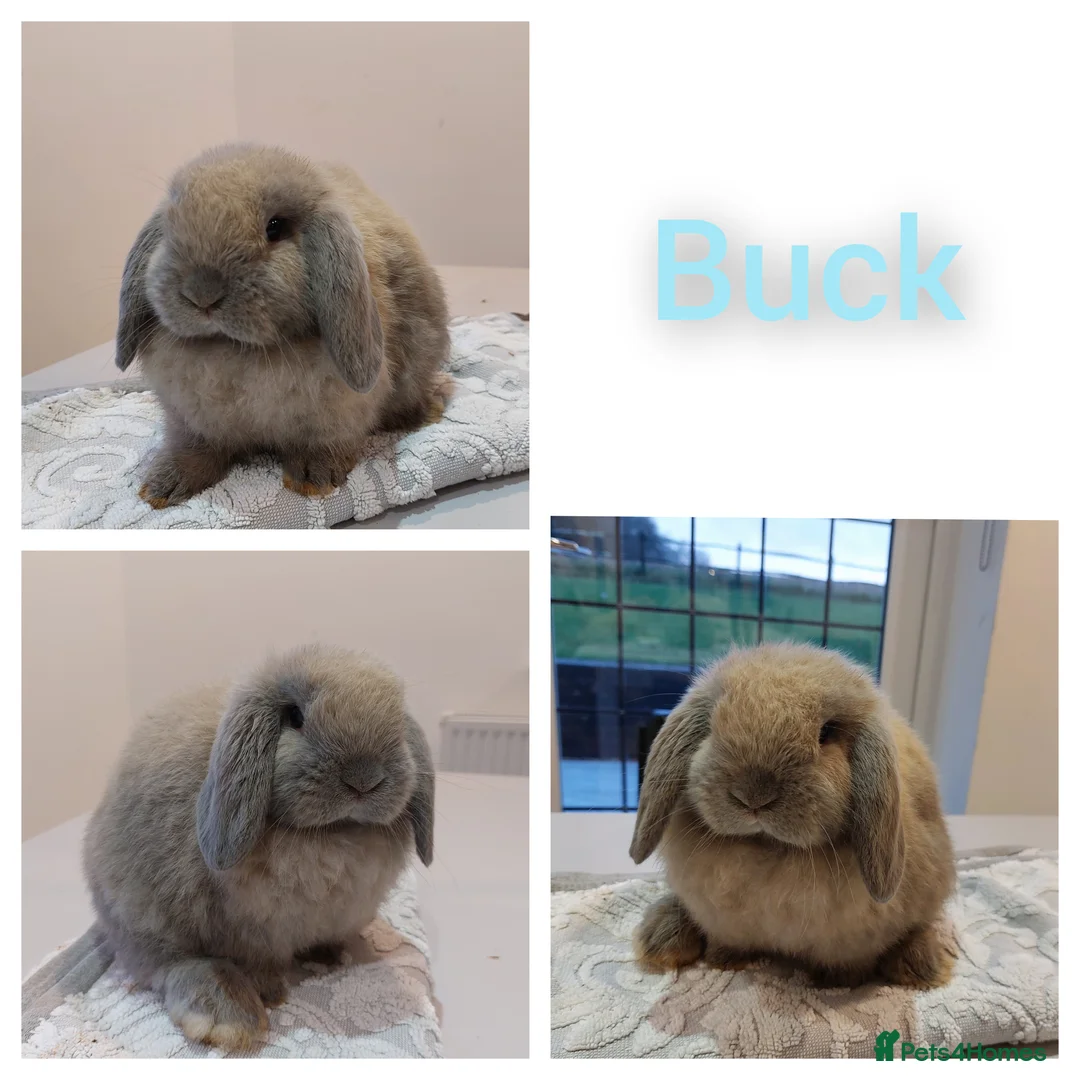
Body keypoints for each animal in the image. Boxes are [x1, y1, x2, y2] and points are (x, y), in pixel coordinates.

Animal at [82, 645, 434, 1051]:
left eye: (398, 718)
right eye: (294, 716)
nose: (364, 779)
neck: (330, 833)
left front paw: (332, 955)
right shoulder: (253, 933)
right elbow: (256, 962)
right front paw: (271, 992)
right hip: (144, 914)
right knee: (171, 964)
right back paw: (229, 1016)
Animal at [114, 143, 453, 507]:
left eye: (275, 227)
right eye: (170, 222)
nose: (201, 294)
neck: (236, 349)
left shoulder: (336, 412)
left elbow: (324, 442)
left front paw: (314, 479)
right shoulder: (189, 419)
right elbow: (194, 449)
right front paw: (163, 487)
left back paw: (427, 411)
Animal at [629, 642, 957, 990]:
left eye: (826, 732)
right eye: (714, 723)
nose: (753, 796)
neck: (770, 848)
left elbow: (851, 965)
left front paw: (837, 983)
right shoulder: (723, 923)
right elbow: (726, 942)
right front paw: (724, 961)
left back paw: (919, 966)